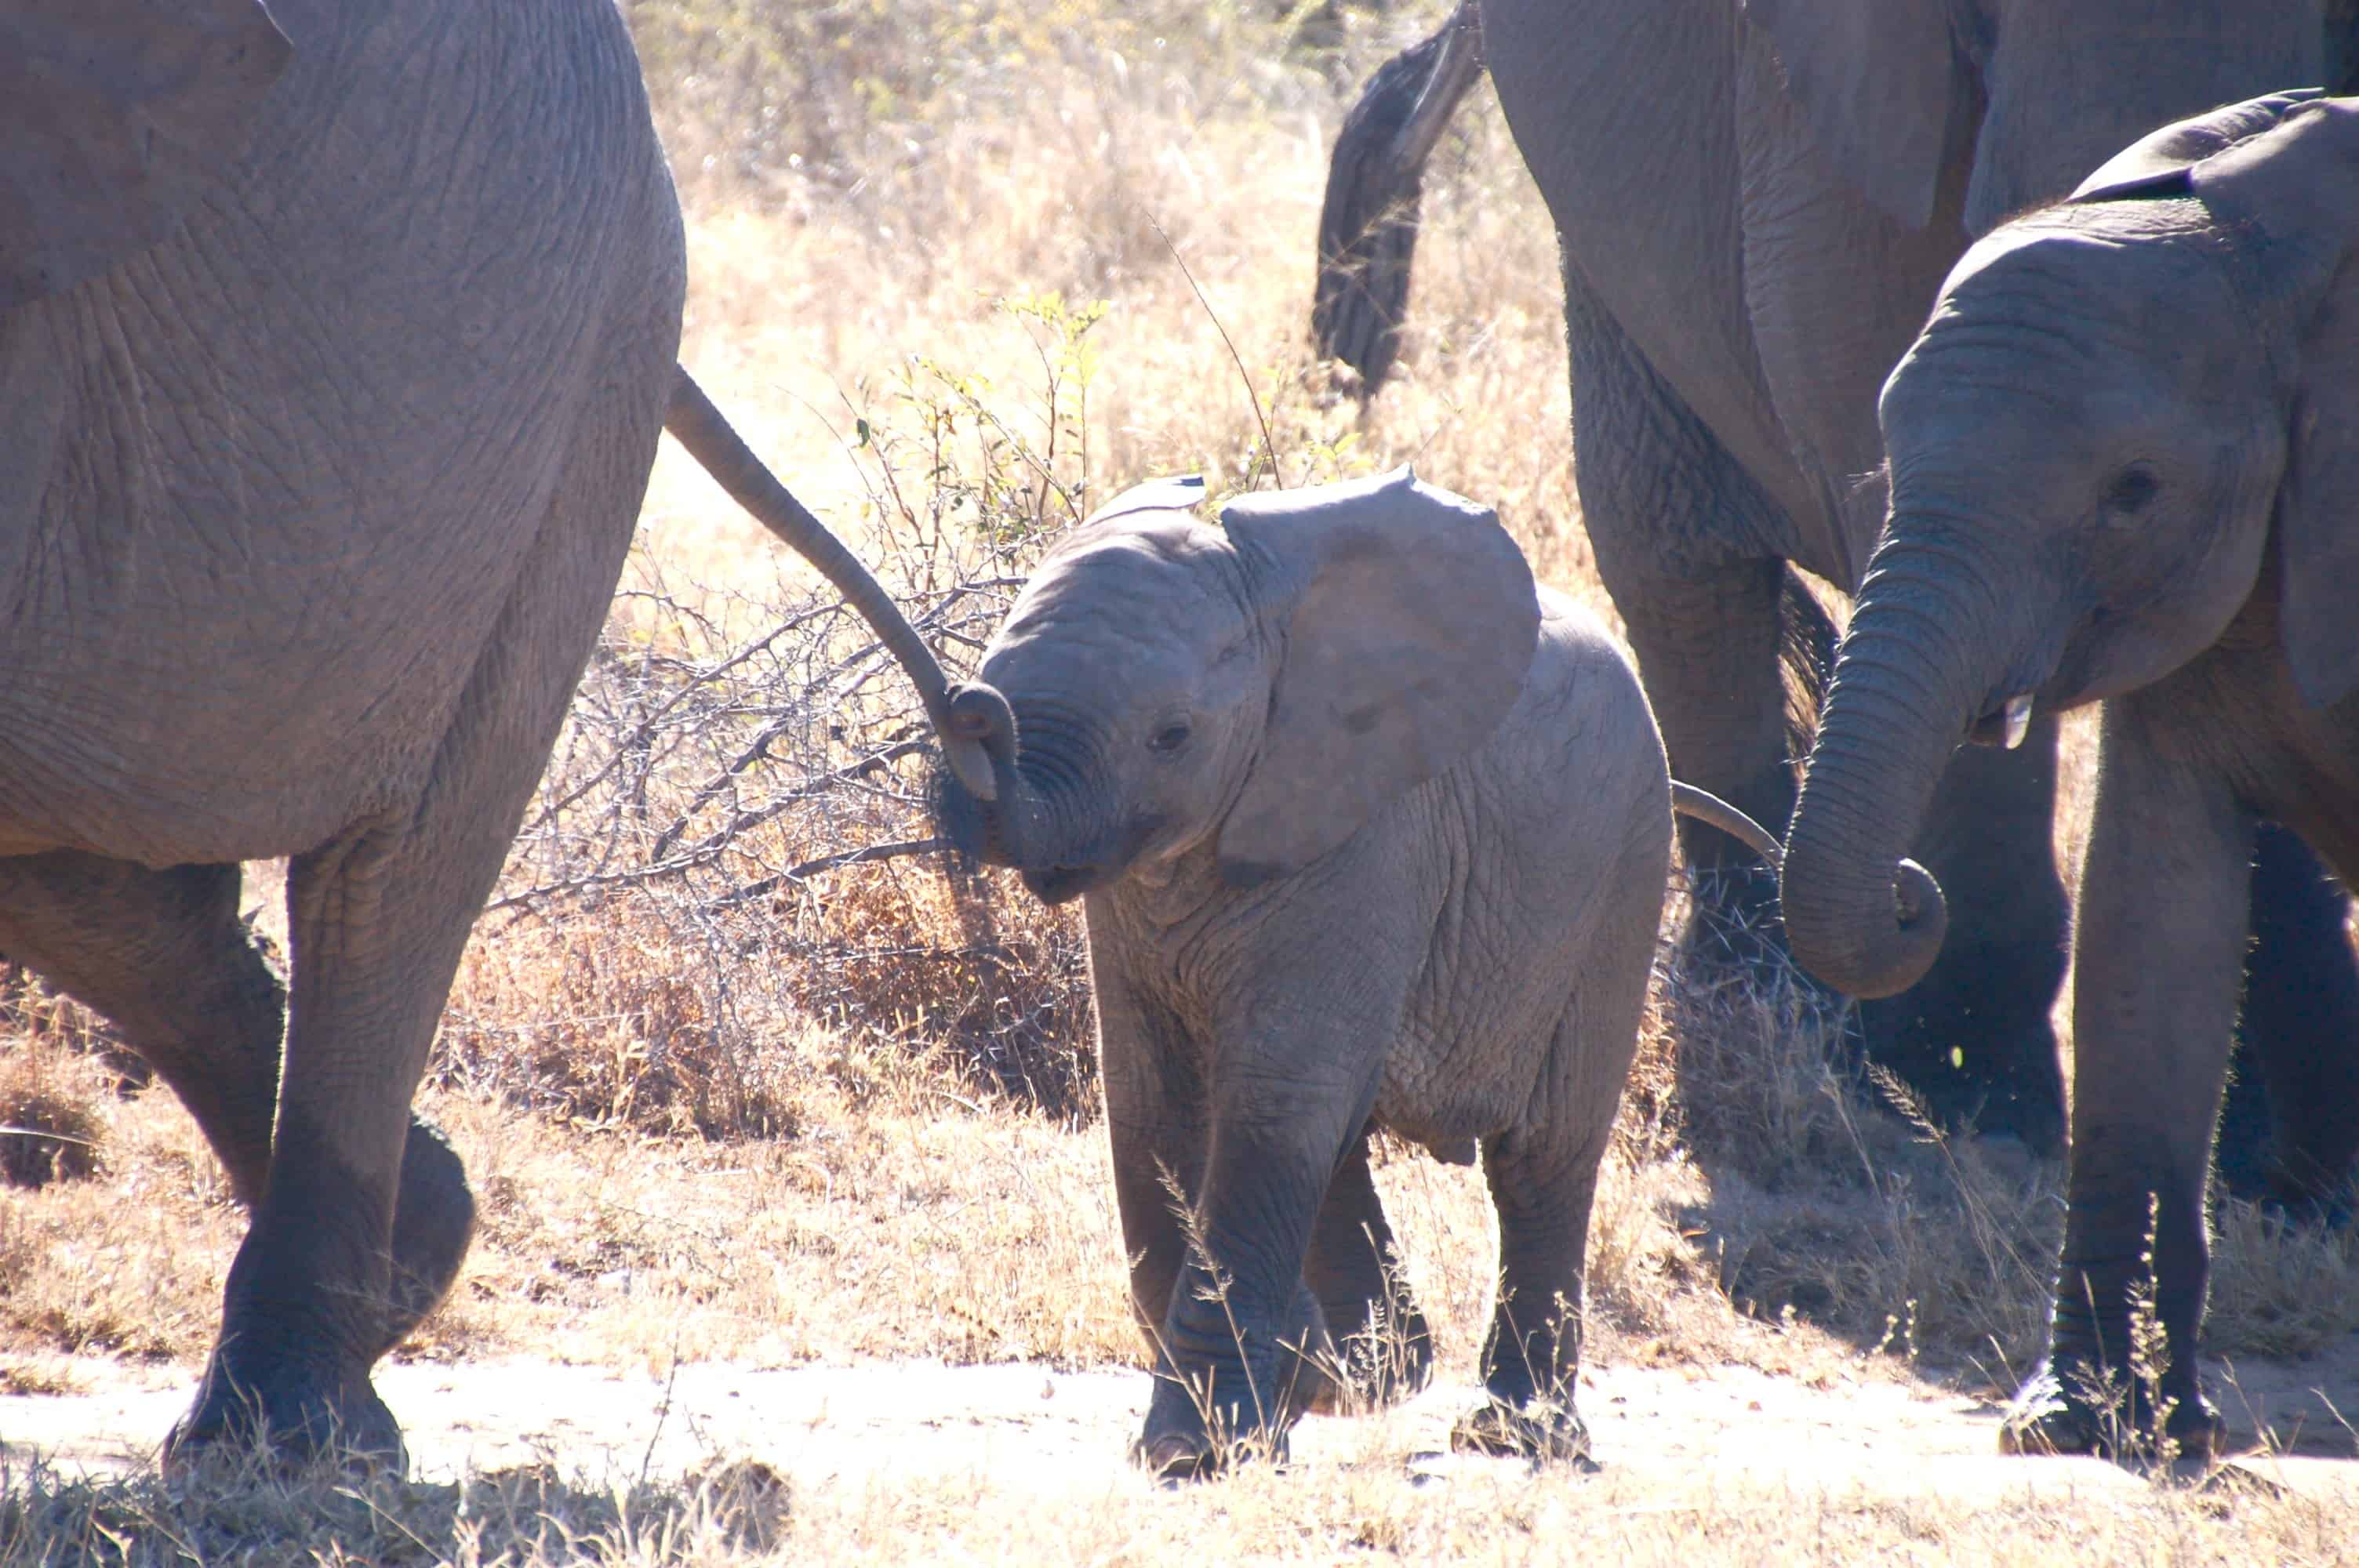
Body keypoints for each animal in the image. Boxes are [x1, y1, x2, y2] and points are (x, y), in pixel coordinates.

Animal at [933, 468, 1786, 1475]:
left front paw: (1199, 1445)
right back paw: (1375, 1368)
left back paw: (1508, 1431)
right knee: (1337, 1136)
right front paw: (1279, 1399)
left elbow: (1274, 1106)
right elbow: (1150, 1104)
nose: (970, 704)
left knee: (1540, 1155)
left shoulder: (1368, 839)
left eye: (1171, 735)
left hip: (1622, 865)